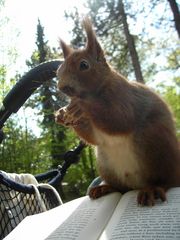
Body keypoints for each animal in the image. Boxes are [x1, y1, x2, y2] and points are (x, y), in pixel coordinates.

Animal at [55, 17, 180, 206]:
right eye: (58, 69)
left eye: (84, 65)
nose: (62, 87)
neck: (94, 93)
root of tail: (137, 185)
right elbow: (93, 137)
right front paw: (62, 114)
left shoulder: (124, 97)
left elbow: (120, 120)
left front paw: (81, 106)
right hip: (106, 164)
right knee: (121, 188)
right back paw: (105, 188)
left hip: (155, 145)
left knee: (166, 181)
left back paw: (153, 189)